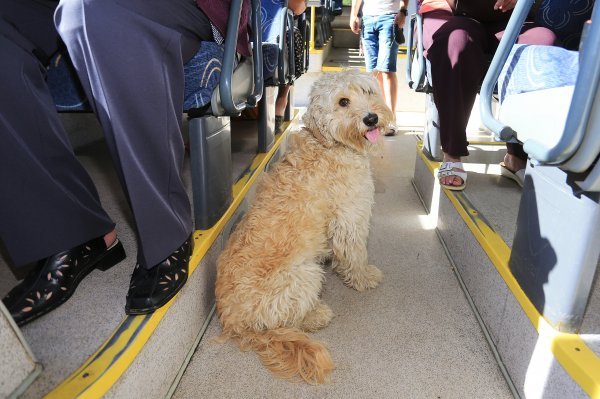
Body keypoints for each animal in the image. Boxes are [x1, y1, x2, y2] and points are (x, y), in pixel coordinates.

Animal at [214, 71, 394, 384]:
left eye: (367, 91)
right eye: (343, 101)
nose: (371, 118)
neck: (329, 144)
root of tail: (234, 323)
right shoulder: (349, 219)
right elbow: (355, 255)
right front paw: (363, 278)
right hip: (306, 274)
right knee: (291, 319)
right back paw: (317, 315)